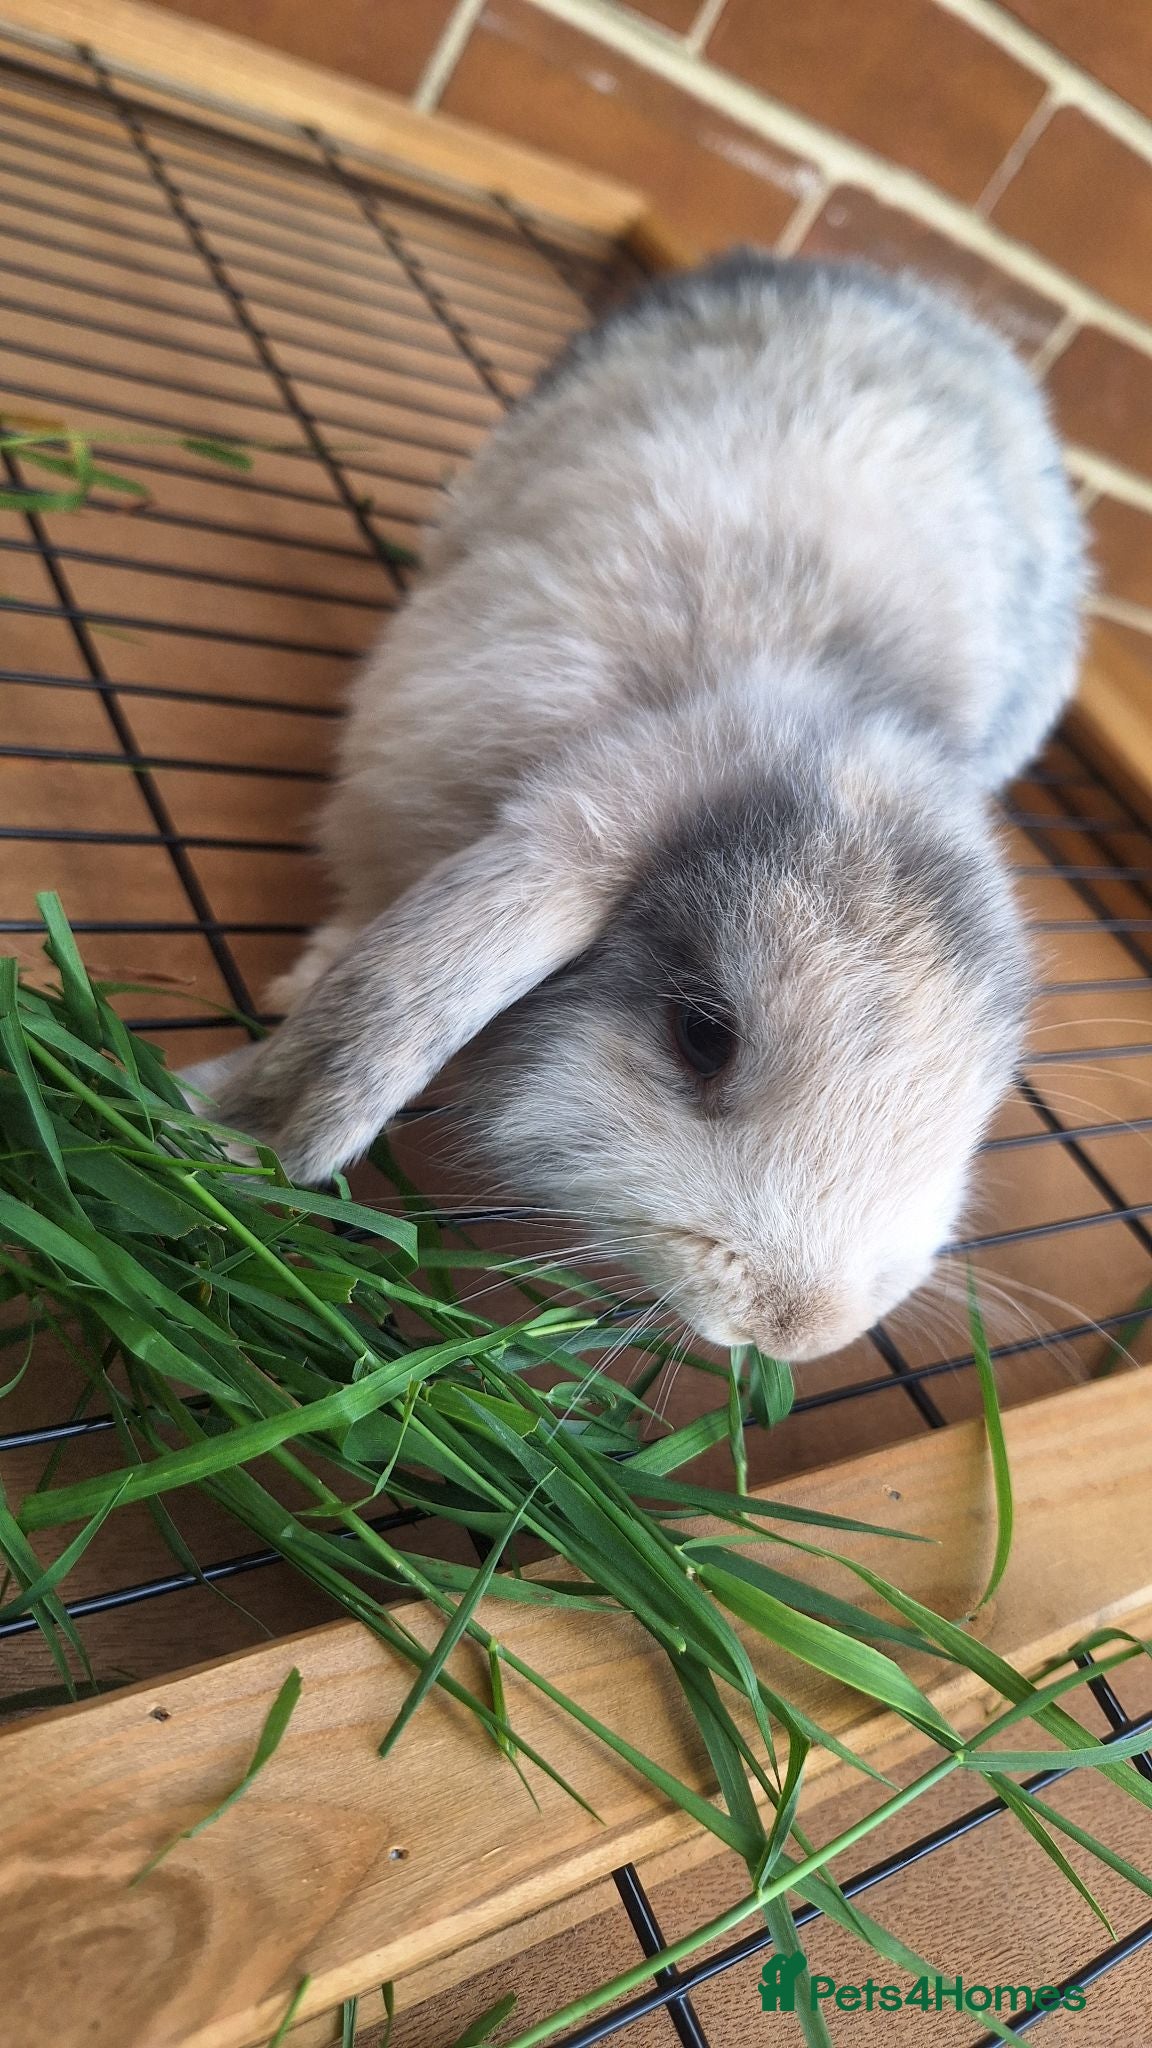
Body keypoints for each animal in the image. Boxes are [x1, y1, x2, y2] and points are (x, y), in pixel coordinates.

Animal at [194, 252, 1087, 1362]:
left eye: (983, 1088)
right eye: (701, 1034)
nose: (800, 1328)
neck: (809, 696)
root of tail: (899, 283)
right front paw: (296, 993)